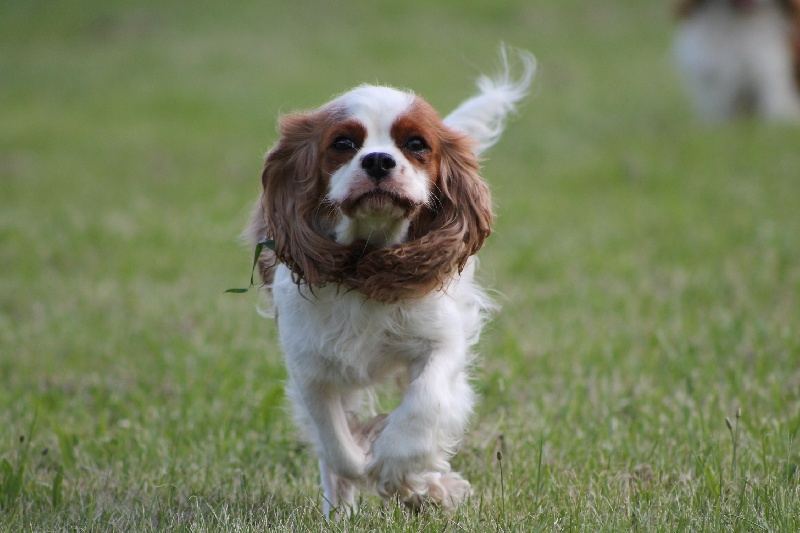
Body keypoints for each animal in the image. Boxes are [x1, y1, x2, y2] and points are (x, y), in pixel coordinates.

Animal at [241, 48, 536, 516]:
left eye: (416, 145)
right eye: (343, 143)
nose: (378, 160)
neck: (367, 261)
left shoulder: (442, 342)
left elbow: (424, 408)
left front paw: (410, 477)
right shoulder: (310, 367)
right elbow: (339, 447)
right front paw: (387, 473)